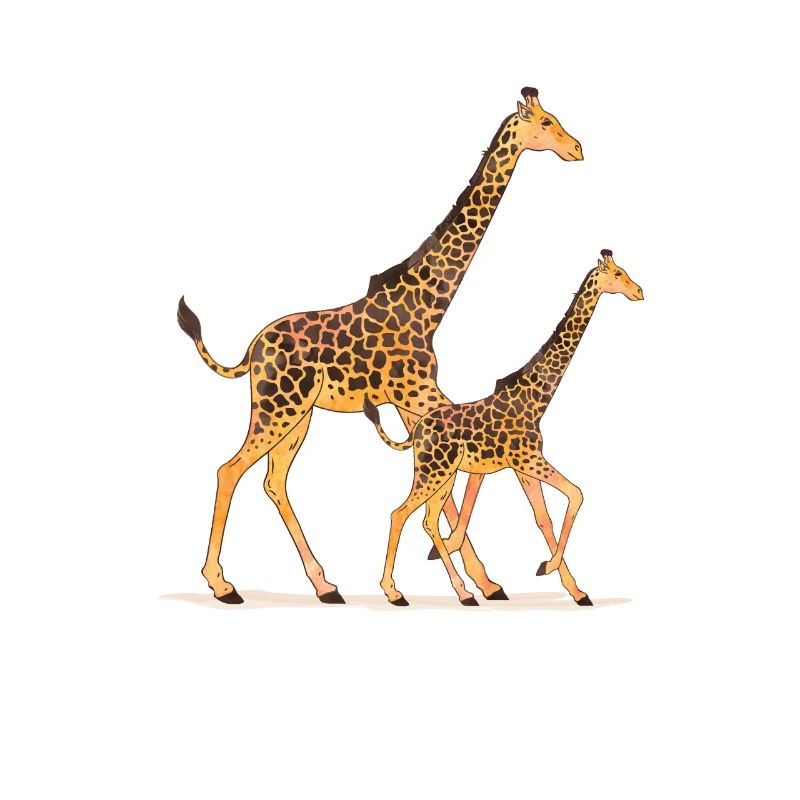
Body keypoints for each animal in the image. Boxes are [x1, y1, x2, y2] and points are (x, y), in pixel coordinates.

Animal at [178, 87, 583, 604]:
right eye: (547, 122)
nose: (577, 149)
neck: (428, 305)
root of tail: (254, 349)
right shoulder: (416, 393)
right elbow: (457, 484)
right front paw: (480, 579)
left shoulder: (416, 402)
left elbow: (456, 482)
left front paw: (484, 579)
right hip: (278, 408)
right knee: (230, 470)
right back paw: (222, 583)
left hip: (299, 415)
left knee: (273, 481)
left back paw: (325, 583)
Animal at [363, 250, 643, 606]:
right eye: (619, 274)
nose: (639, 292)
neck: (536, 398)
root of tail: (419, 431)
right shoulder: (528, 459)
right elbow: (576, 494)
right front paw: (551, 569)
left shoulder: (522, 466)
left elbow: (544, 517)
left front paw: (572, 586)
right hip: (433, 473)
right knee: (400, 513)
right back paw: (396, 591)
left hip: (444, 475)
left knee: (427, 520)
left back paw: (462, 590)